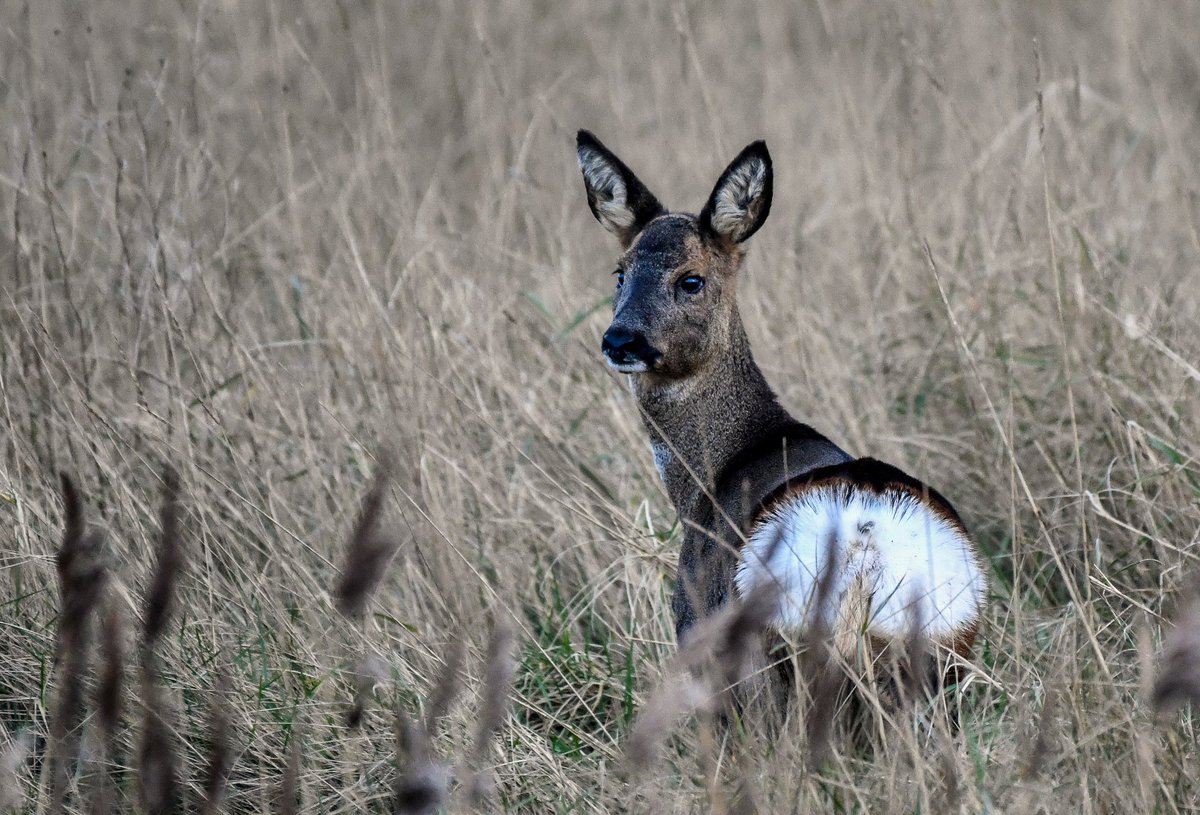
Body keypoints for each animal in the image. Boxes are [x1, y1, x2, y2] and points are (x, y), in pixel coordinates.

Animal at [574, 130, 987, 702]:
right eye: (620, 273)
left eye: (692, 280)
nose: (620, 340)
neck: (706, 481)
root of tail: (866, 537)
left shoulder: (695, 614)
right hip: (944, 653)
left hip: (765, 651)